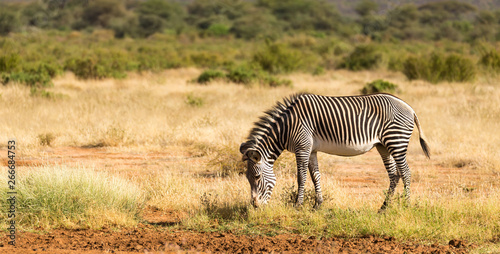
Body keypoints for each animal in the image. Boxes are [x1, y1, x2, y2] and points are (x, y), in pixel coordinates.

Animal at [239, 93, 430, 210]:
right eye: (247, 178)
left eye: (257, 177)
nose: (255, 206)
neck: (286, 127)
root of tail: (409, 107)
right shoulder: (311, 150)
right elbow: (315, 176)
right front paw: (317, 205)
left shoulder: (302, 148)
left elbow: (301, 177)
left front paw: (298, 205)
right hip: (383, 146)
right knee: (394, 174)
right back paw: (383, 208)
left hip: (396, 141)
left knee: (405, 172)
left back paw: (406, 205)